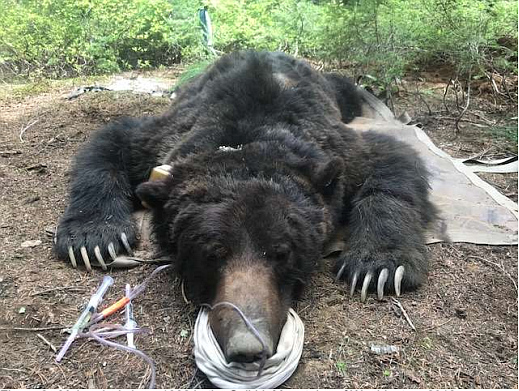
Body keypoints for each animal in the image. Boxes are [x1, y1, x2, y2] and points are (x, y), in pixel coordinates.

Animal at [54, 51, 438, 364]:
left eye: (282, 251)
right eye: (212, 252)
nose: (248, 345)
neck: (245, 141)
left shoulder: (338, 149)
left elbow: (391, 159)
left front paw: (379, 266)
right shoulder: (163, 139)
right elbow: (112, 141)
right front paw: (93, 238)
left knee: (348, 89)